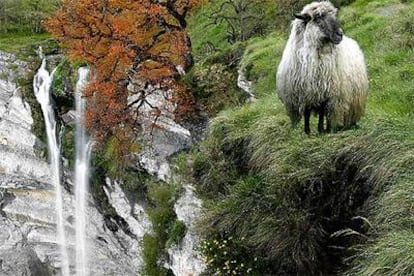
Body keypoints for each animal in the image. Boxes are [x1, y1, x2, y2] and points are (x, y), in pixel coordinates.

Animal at [274, 0, 368, 134]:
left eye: (333, 16)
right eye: (318, 18)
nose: (340, 34)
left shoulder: (327, 92)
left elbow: (323, 112)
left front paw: (321, 130)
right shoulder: (304, 93)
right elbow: (307, 113)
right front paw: (307, 131)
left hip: (349, 98)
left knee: (331, 114)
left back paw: (335, 127)